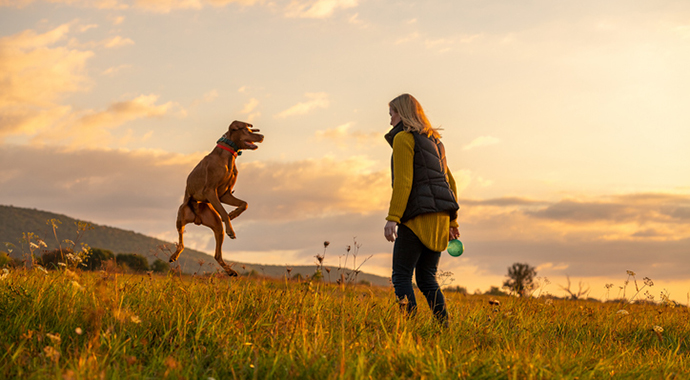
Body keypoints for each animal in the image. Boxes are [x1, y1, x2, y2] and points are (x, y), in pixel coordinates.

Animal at [169, 121, 264, 276]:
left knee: (217, 254)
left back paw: (230, 271)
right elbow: (223, 211)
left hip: (217, 226)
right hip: (181, 216)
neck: (228, 156)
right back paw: (174, 255)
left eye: (251, 130)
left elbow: (245, 204)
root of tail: (197, 218)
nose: (262, 136)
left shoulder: (224, 194)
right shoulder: (210, 192)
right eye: (246, 129)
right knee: (181, 242)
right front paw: (231, 227)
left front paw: (233, 214)